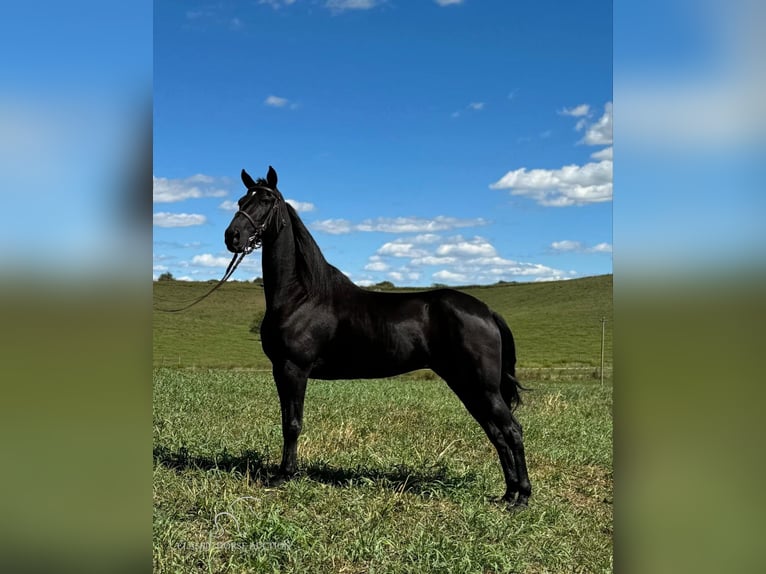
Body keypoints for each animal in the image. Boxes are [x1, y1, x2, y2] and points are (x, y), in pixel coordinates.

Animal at [225, 166, 532, 508]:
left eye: (266, 201)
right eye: (241, 200)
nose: (232, 236)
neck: (302, 295)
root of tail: (487, 311)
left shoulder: (293, 369)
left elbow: (292, 424)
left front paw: (283, 475)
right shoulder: (283, 371)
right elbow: (287, 421)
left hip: (482, 387)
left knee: (512, 430)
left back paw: (522, 497)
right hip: (467, 385)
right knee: (497, 433)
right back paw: (507, 494)